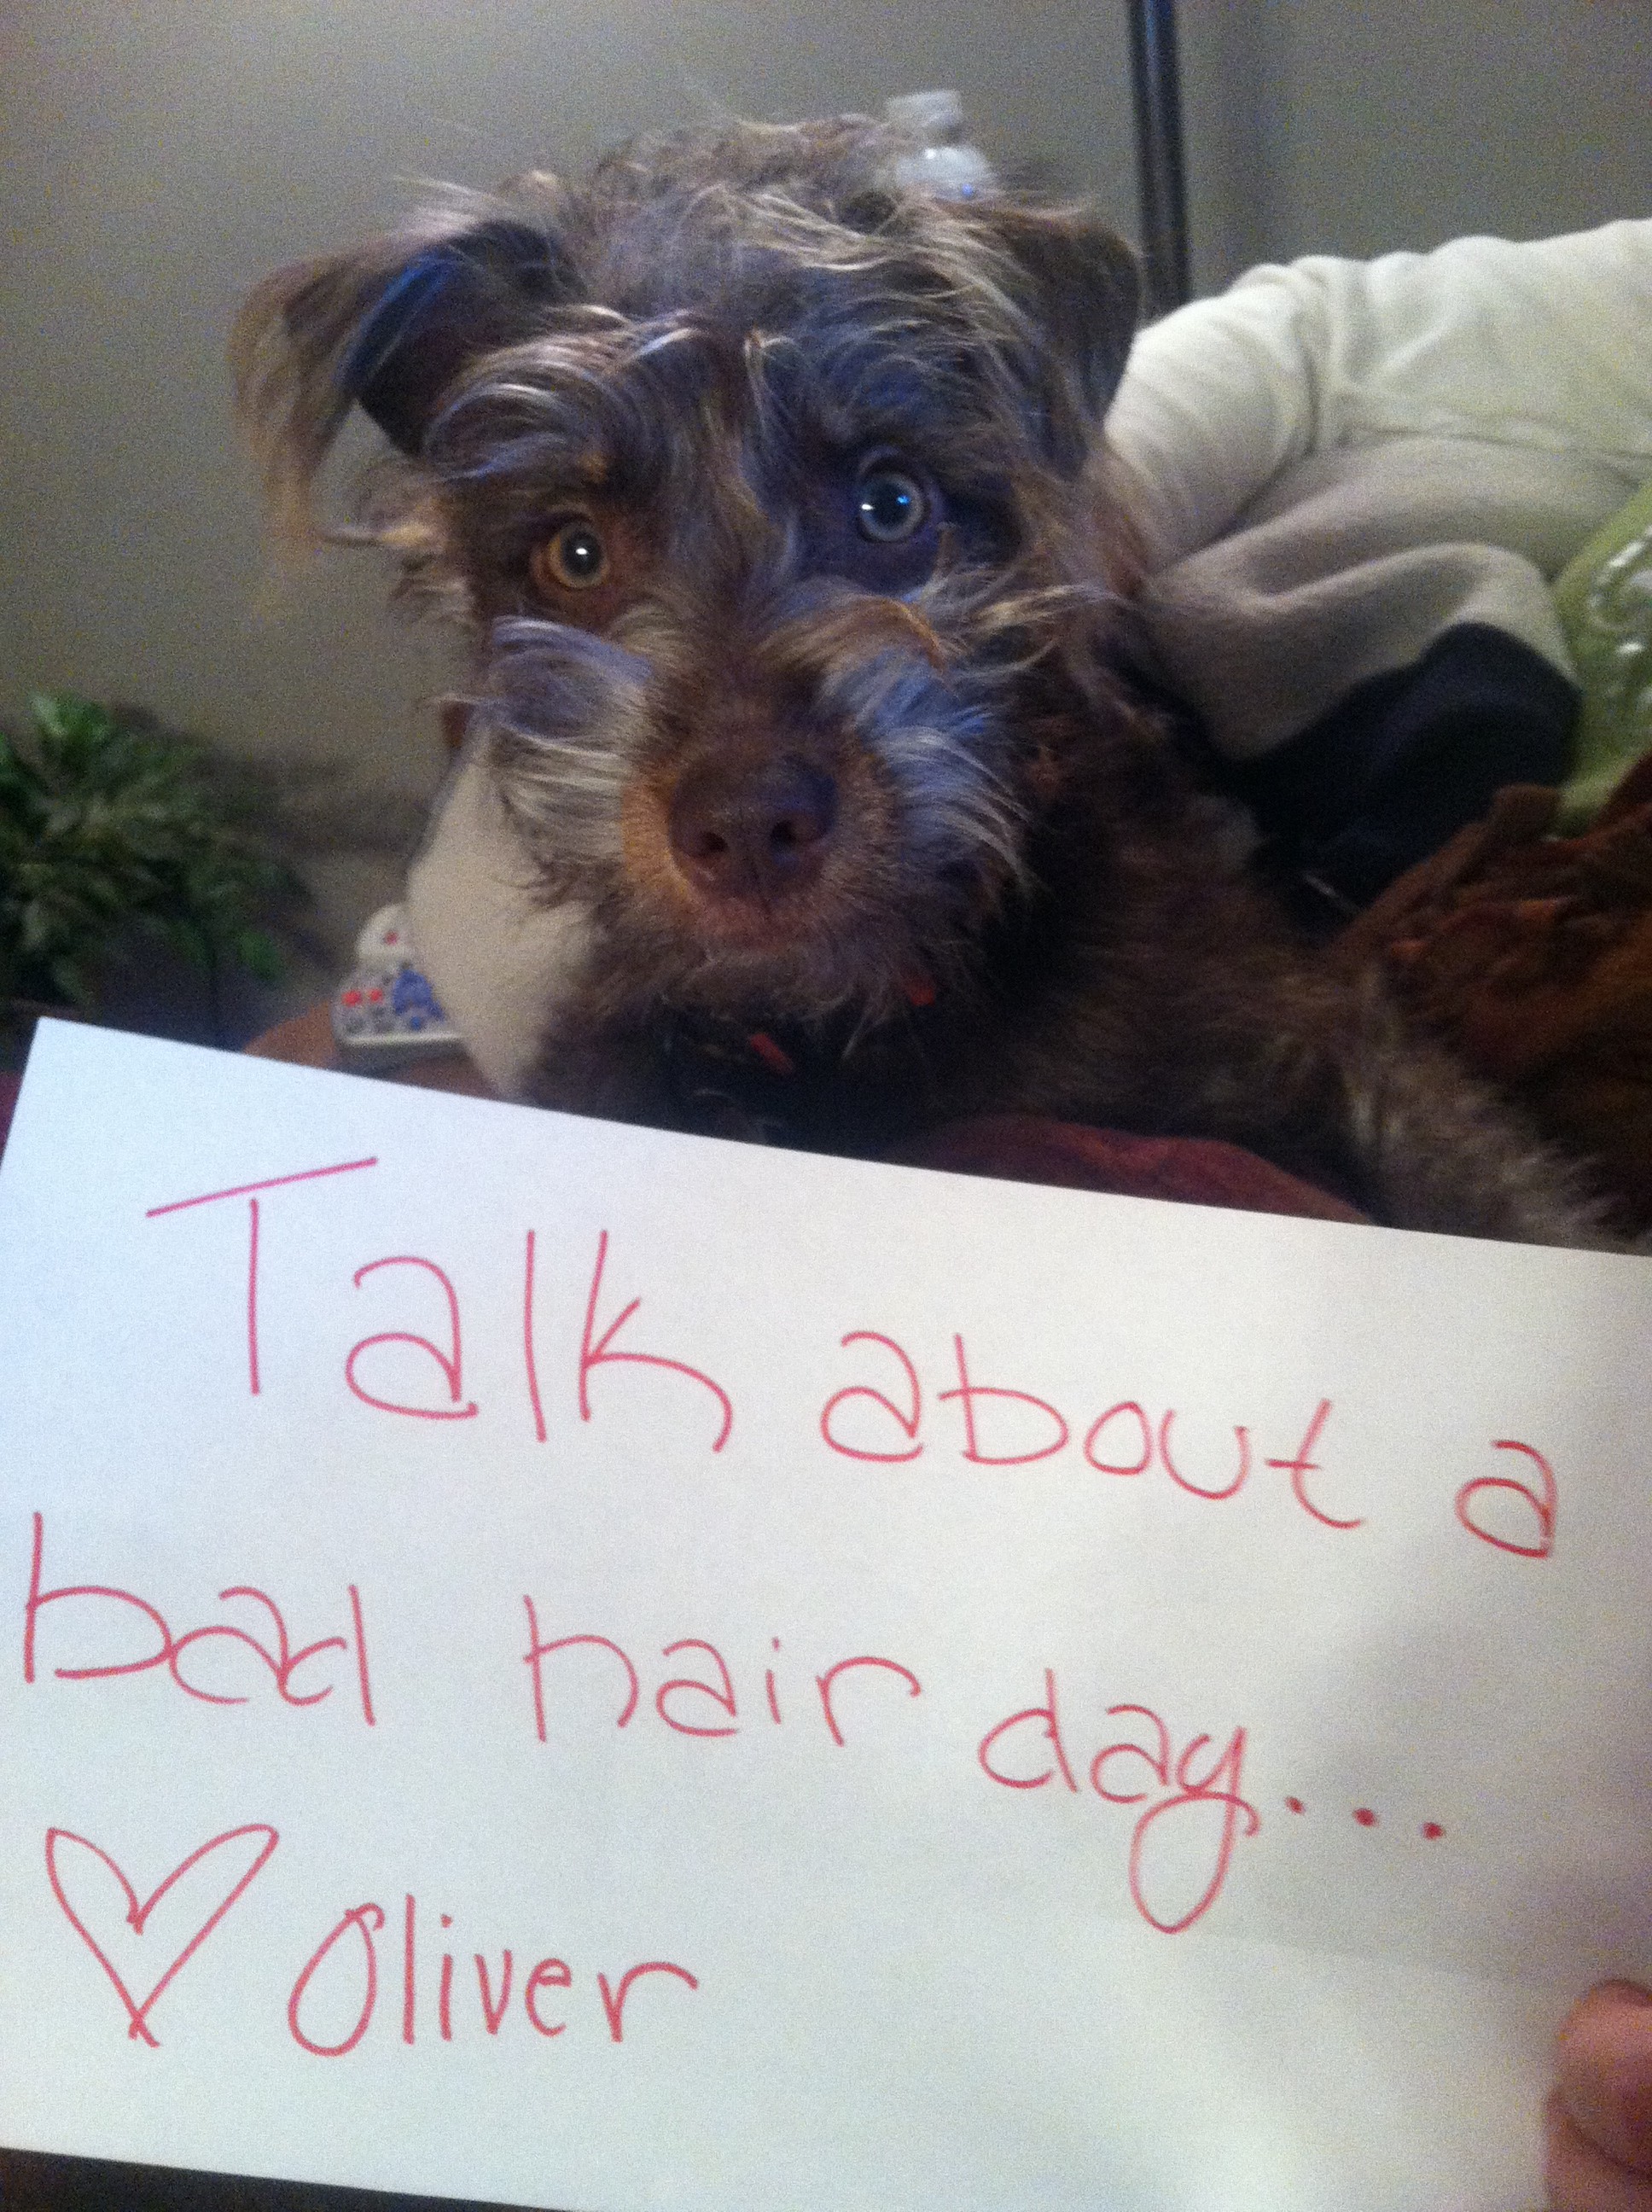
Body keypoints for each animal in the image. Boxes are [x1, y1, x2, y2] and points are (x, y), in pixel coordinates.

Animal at [229, 108, 1601, 1247]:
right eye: (574, 552)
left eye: (891, 503)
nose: (750, 824)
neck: (863, 1014)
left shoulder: (1327, 1041)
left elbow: (1490, 1188)